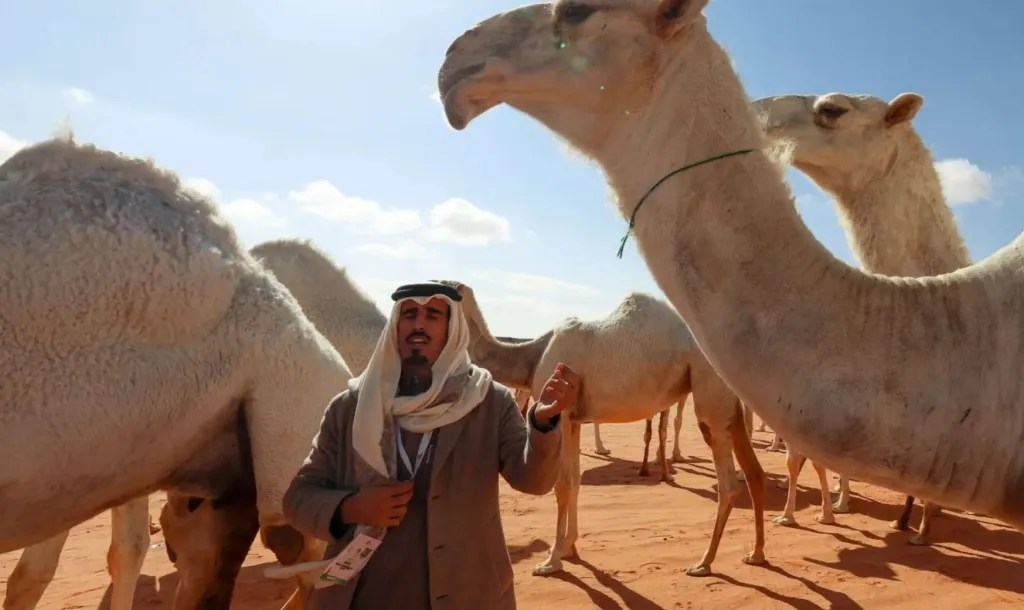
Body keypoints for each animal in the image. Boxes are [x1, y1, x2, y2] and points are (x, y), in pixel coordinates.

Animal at [440, 280, 765, 577]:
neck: (535, 354)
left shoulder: (561, 411)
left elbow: (563, 484)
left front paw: (551, 560)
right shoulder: (574, 420)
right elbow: (575, 481)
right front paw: (568, 547)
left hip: (709, 386)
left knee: (728, 482)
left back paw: (704, 562)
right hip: (730, 400)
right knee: (753, 472)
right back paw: (756, 554)